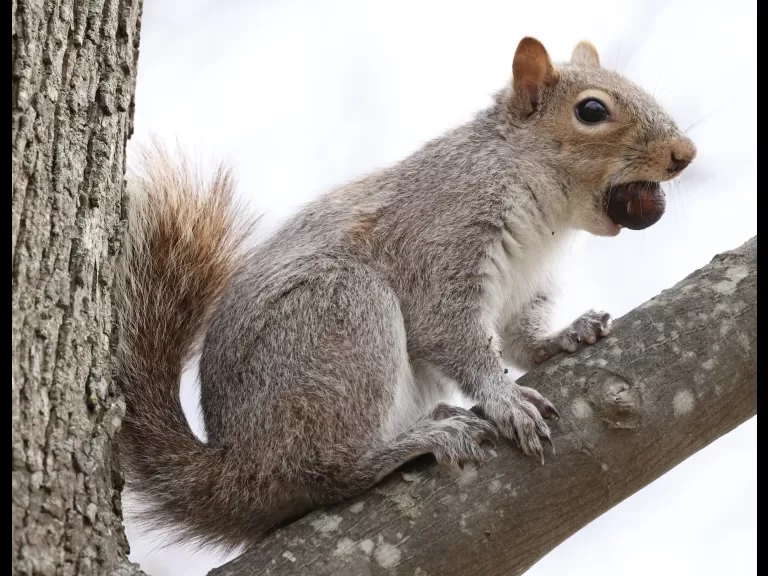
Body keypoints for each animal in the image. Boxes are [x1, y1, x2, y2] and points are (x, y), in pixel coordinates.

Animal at [116, 37, 696, 550]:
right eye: (592, 110)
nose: (685, 153)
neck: (543, 212)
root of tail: (236, 472)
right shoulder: (441, 240)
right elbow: (454, 335)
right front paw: (505, 399)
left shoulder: (526, 286)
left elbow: (521, 341)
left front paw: (567, 335)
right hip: (342, 316)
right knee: (325, 474)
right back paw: (421, 441)